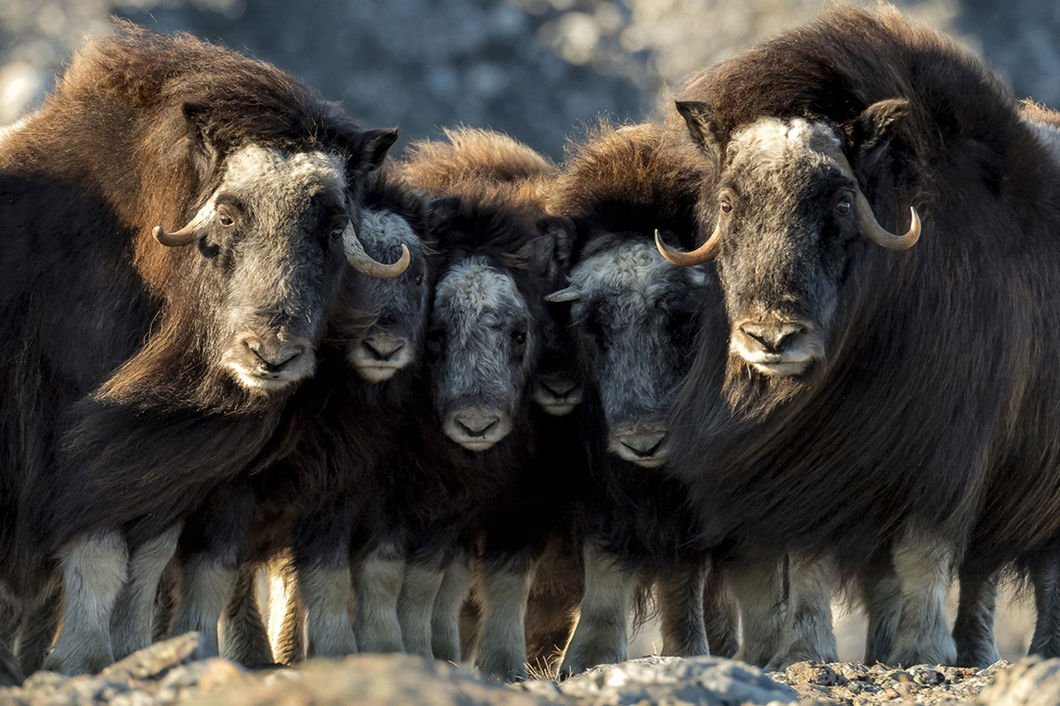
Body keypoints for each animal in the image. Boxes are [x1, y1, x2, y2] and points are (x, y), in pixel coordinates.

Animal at [0, 23, 402, 669]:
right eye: (230, 216)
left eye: (335, 225)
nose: (271, 354)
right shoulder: (81, 450)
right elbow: (100, 557)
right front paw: (84, 660)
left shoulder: (166, 471)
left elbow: (146, 564)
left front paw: (134, 651)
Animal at [657, 4, 1060, 665]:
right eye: (729, 202)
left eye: (843, 202)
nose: (772, 338)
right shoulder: (814, 464)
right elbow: (813, 560)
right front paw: (808, 649)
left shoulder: (946, 452)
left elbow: (924, 552)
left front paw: (922, 652)